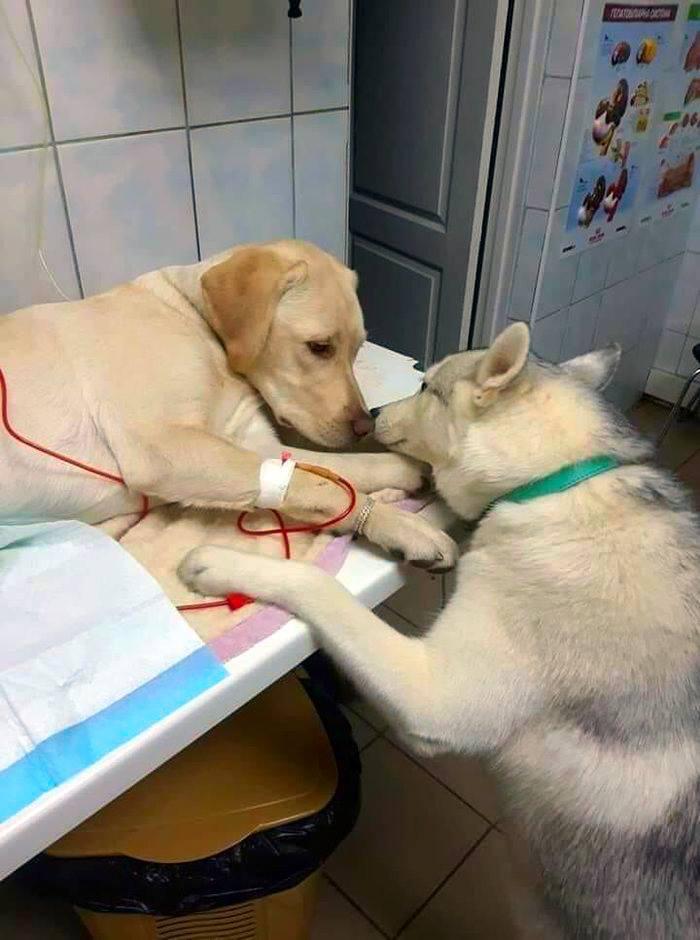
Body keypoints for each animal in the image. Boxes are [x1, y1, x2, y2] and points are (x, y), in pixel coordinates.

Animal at [180, 324, 700, 940]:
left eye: (427, 386)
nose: (373, 412)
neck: (556, 481)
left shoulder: (438, 699)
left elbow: (317, 584)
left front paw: (219, 563)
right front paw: (397, 518)